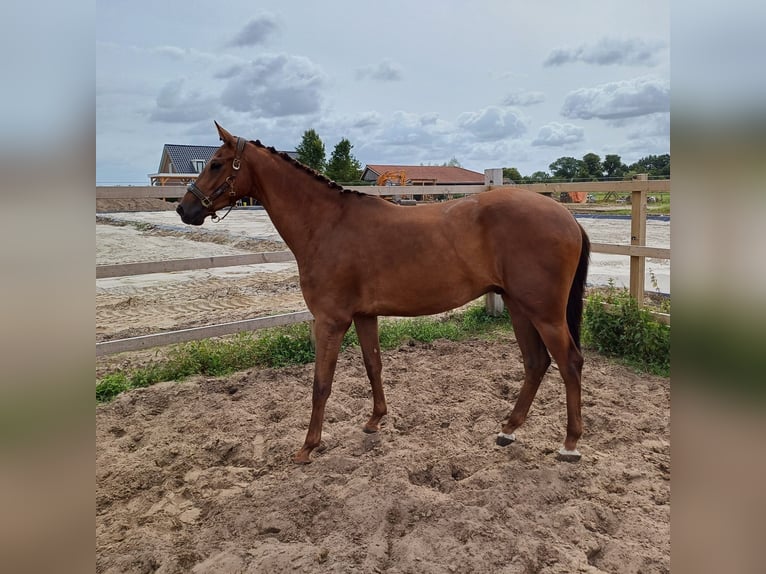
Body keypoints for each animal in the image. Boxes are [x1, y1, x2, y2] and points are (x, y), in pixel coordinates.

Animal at [177, 124, 592, 466]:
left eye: (216, 164)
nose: (184, 208)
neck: (327, 223)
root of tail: (568, 217)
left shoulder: (330, 321)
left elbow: (321, 384)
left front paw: (308, 447)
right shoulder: (364, 315)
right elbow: (373, 364)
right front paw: (375, 420)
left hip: (544, 313)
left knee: (569, 362)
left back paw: (570, 445)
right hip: (520, 307)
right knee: (536, 363)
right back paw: (508, 429)